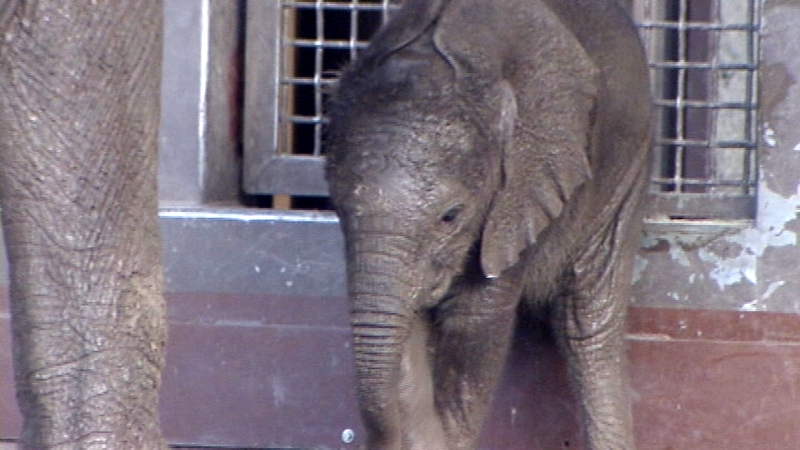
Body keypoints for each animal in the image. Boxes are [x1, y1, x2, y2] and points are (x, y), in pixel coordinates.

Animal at [325, 0, 651, 448]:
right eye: (338, 208)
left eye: (451, 216)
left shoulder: (520, 191)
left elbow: (477, 319)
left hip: (627, 165)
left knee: (588, 326)